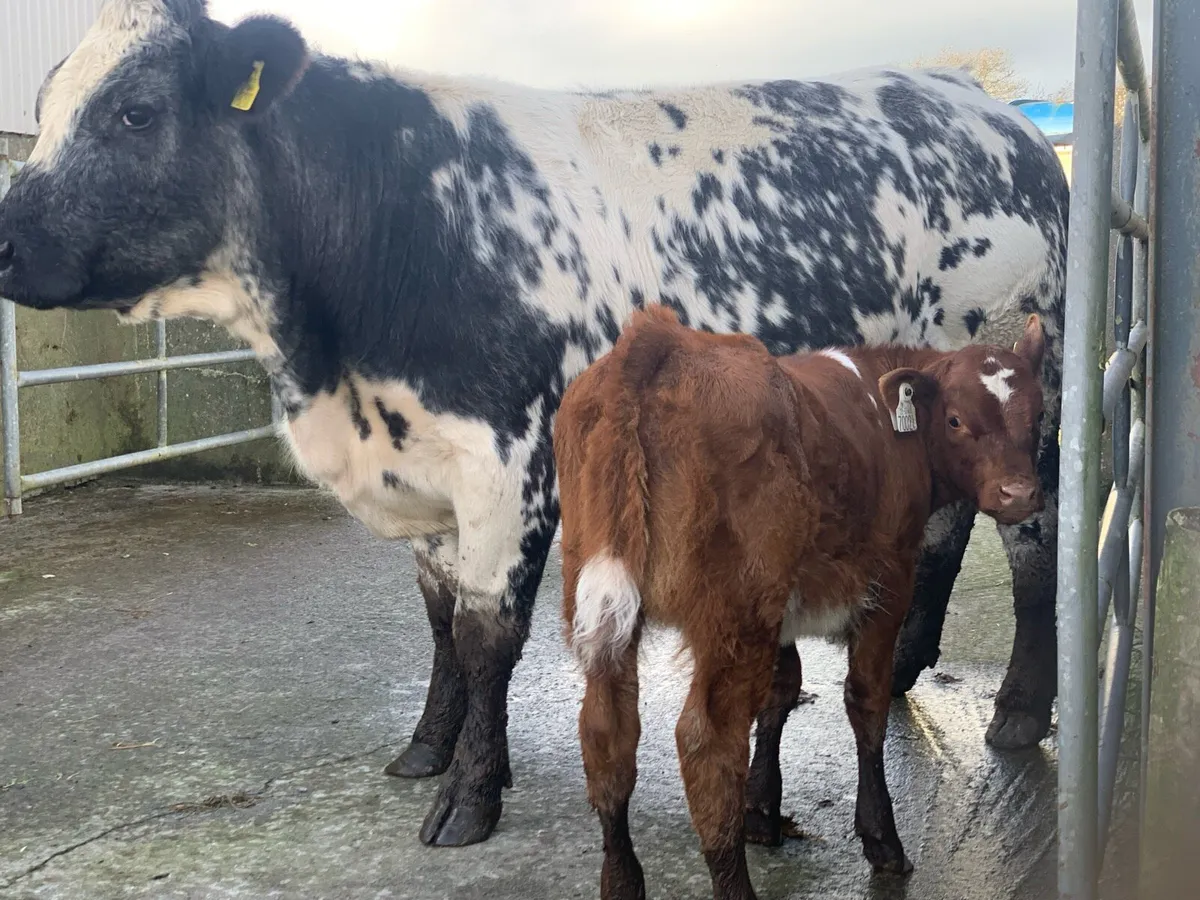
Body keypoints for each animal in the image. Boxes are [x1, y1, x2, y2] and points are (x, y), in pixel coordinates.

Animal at [554, 304, 1047, 900]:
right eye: (955, 420)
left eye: (1040, 416)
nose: (1020, 494)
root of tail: (656, 339)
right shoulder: (887, 584)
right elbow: (866, 702)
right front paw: (881, 839)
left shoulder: (782, 607)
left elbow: (781, 691)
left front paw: (761, 811)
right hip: (734, 614)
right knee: (706, 744)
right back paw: (735, 885)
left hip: (604, 602)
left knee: (607, 731)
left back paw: (622, 880)